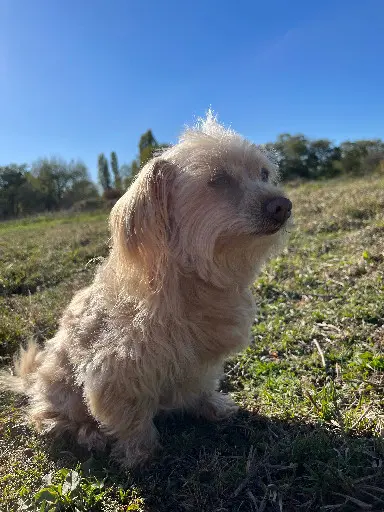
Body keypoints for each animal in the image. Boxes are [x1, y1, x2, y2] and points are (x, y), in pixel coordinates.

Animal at [0, 112, 292, 468]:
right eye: (218, 180)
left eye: (264, 174)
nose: (283, 206)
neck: (191, 285)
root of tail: (34, 380)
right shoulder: (112, 374)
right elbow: (130, 417)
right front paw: (140, 452)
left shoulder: (202, 359)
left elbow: (202, 385)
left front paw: (212, 406)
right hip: (62, 388)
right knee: (48, 416)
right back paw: (88, 434)